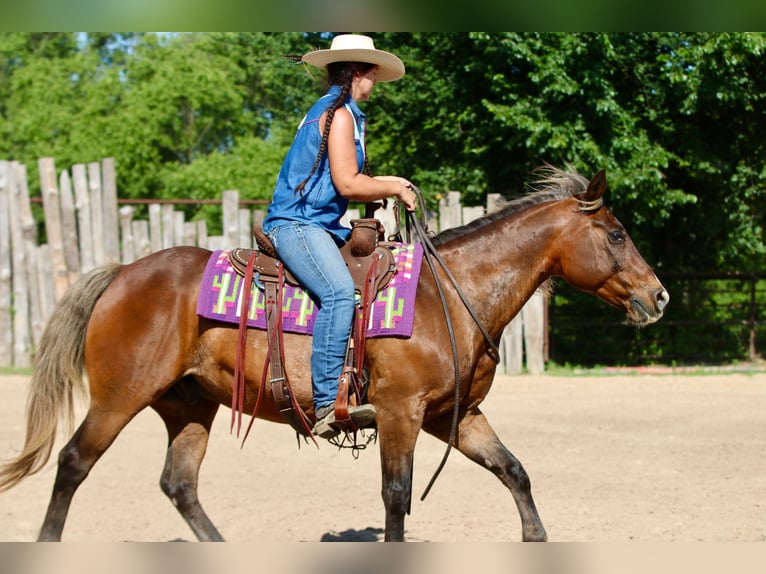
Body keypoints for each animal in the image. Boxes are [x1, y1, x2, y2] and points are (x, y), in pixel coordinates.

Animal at [0, 166, 668, 541]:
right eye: (616, 234)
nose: (657, 295)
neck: (448, 294)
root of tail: (120, 274)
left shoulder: (454, 416)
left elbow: (514, 470)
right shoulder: (400, 413)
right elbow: (396, 497)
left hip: (188, 404)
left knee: (179, 484)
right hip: (121, 396)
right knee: (73, 464)